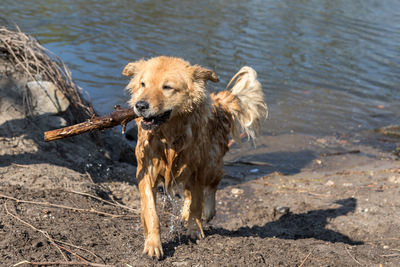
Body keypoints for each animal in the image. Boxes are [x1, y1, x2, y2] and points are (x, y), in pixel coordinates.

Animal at [122, 57, 266, 260]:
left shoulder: (197, 169)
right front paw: (153, 244)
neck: (168, 136)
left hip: (211, 162)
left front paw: (194, 230)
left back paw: (208, 210)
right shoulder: (147, 172)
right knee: (190, 193)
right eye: (143, 84)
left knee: (214, 183)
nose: (140, 106)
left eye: (167, 87)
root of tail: (218, 102)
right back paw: (184, 212)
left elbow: (197, 203)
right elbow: (151, 212)